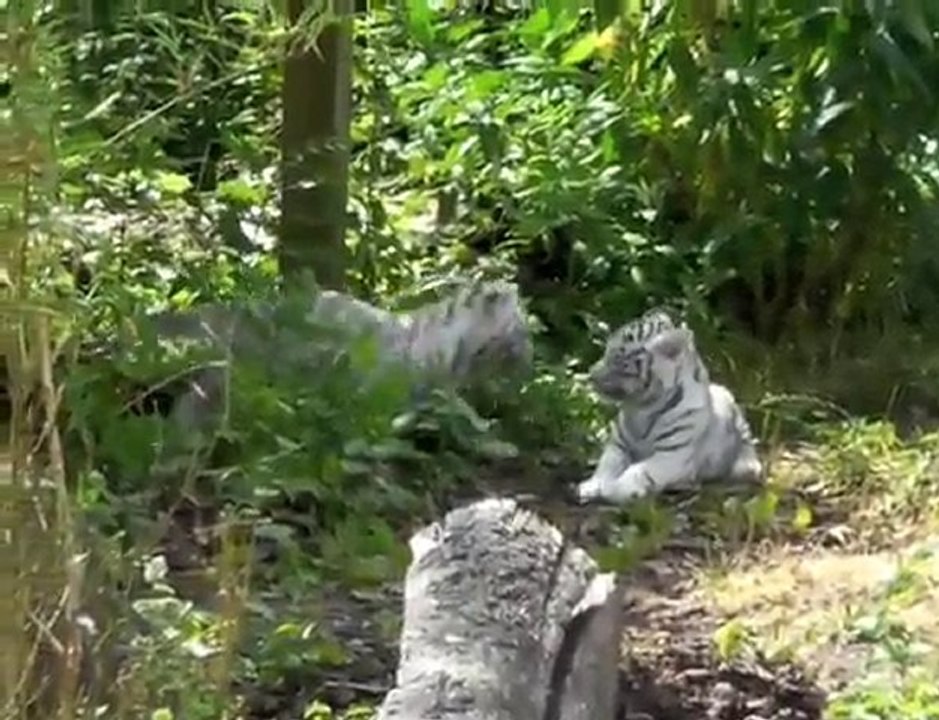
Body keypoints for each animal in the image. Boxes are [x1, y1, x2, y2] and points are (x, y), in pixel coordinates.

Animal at [575, 307, 763, 504]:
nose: (590, 375)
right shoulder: (618, 446)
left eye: (619, 358)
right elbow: (607, 464)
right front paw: (592, 485)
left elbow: (638, 471)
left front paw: (612, 489)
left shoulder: (671, 454)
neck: (641, 406)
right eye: (607, 350)